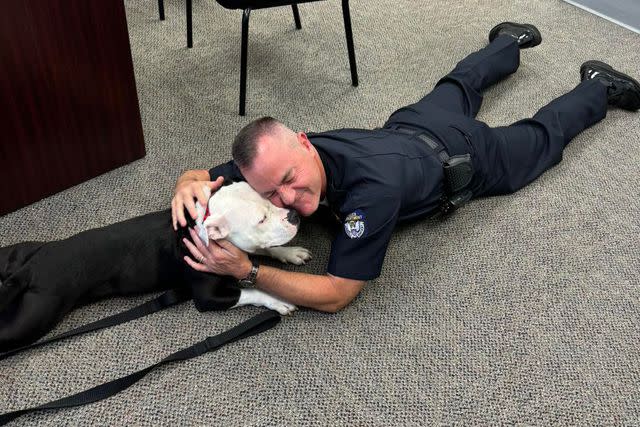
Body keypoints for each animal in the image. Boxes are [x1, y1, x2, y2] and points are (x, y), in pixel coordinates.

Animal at [0, 182, 310, 352]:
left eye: (268, 198)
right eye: (260, 219)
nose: (294, 215)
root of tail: (31, 267)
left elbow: (265, 249)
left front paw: (289, 252)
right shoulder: (207, 297)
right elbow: (251, 291)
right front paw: (277, 300)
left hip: (22, 251)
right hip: (37, 313)